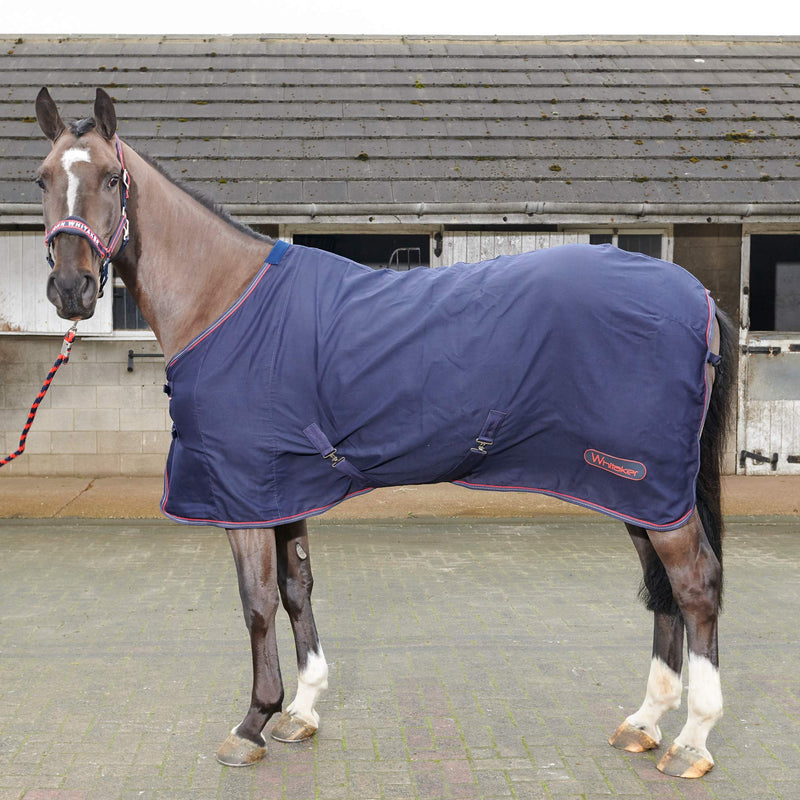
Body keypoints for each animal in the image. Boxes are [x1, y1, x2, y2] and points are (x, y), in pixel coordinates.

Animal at [33, 87, 735, 779]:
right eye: (42, 178)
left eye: (112, 177)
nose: (70, 289)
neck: (224, 299)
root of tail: (698, 297)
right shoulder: (282, 489)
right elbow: (297, 590)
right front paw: (301, 711)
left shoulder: (242, 496)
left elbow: (257, 603)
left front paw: (253, 721)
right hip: (631, 490)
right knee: (664, 592)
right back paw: (644, 723)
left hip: (648, 485)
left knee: (695, 586)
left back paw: (693, 741)